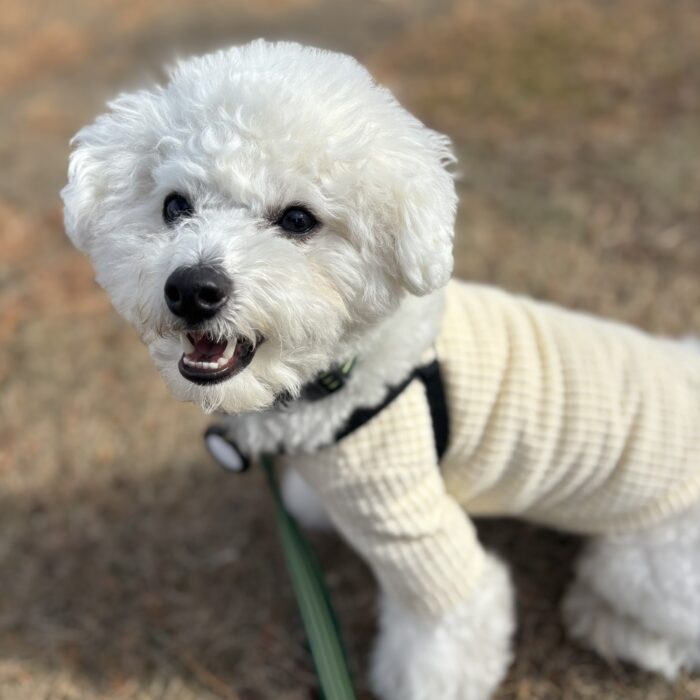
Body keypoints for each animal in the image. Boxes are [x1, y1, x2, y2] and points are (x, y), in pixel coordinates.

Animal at [64, 39, 700, 700]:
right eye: (175, 206)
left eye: (298, 219)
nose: (192, 289)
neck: (346, 372)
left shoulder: (414, 531)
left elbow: (444, 638)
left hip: (644, 564)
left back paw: (608, 623)